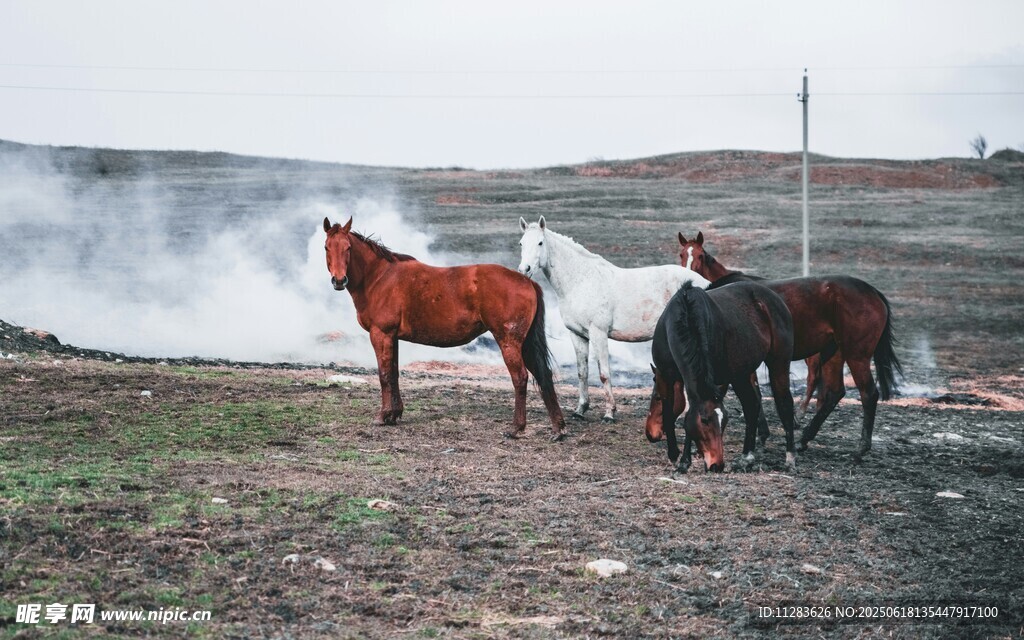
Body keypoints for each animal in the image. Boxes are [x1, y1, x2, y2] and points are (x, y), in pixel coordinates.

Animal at [323, 216, 566, 440]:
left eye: (348, 247)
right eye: (327, 247)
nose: (339, 280)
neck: (379, 277)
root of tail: (527, 281)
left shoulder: (381, 334)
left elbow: (384, 375)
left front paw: (383, 416)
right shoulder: (393, 337)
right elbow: (394, 373)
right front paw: (395, 413)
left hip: (509, 342)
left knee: (520, 378)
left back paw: (516, 427)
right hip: (525, 344)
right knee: (543, 374)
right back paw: (558, 428)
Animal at [517, 216, 710, 422]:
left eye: (540, 242)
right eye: (521, 243)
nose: (524, 269)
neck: (581, 281)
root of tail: (704, 284)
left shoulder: (598, 334)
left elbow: (604, 374)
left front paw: (609, 412)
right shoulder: (577, 335)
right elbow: (582, 372)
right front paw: (580, 409)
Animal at [652, 281, 797, 472]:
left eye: (725, 420)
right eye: (704, 420)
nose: (717, 465)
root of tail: (776, 299)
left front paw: (684, 461)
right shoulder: (665, 375)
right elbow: (669, 411)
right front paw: (675, 455)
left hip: (778, 364)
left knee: (785, 405)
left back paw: (790, 458)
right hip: (741, 374)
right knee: (751, 406)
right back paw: (746, 457)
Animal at [669, 231, 902, 460]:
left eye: (700, 255)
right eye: (681, 254)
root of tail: (873, 291)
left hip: (856, 355)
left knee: (868, 394)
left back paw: (861, 447)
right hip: (833, 353)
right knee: (834, 393)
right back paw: (804, 439)